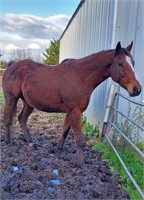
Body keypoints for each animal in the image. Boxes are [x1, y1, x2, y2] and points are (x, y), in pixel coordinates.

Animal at [2, 41, 142, 165]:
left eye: (133, 63)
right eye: (120, 64)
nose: (137, 89)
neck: (81, 76)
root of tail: (11, 65)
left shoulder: (70, 111)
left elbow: (65, 131)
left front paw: (58, 150)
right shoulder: (75, 111)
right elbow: (78, 139)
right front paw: (81, 164)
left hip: (29, 103)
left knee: (21, 119)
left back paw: (30, 142)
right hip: (11, 98)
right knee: (8, 119)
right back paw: (8, 143)